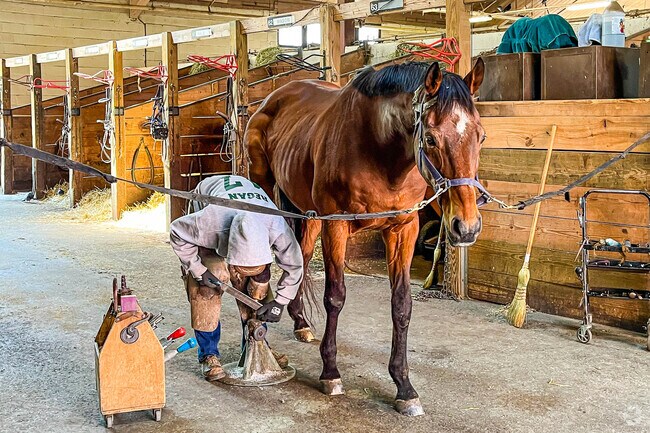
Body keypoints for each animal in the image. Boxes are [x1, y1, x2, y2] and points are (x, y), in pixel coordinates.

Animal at [244, 59, 486, 416]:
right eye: (430, 139)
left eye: (481, 136)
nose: (465, 226)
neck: (379, 150)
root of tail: (273, 98)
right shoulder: (336, 227)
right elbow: (335, 297)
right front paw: (330, 373)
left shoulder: (403, 230)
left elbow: (401, 304)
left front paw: (404, 386)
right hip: (268, 189)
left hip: (307, 212)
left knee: (301, 255)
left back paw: (300, 322)